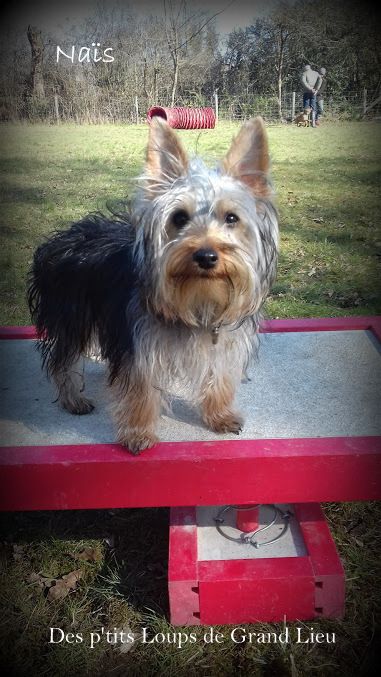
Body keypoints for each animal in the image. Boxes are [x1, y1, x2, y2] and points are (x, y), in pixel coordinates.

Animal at [26, 117, 276, 454]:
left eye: (232, 218)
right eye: (179, 217)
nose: (206, 256)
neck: (199, 299)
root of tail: (63, 236)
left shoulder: (223, 341)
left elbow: (219, 375)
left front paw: (220, 415)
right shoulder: (139, 346)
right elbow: (140, 389)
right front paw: (138, 433)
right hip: (72, 313)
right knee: (62, 358)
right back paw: (72, 398)